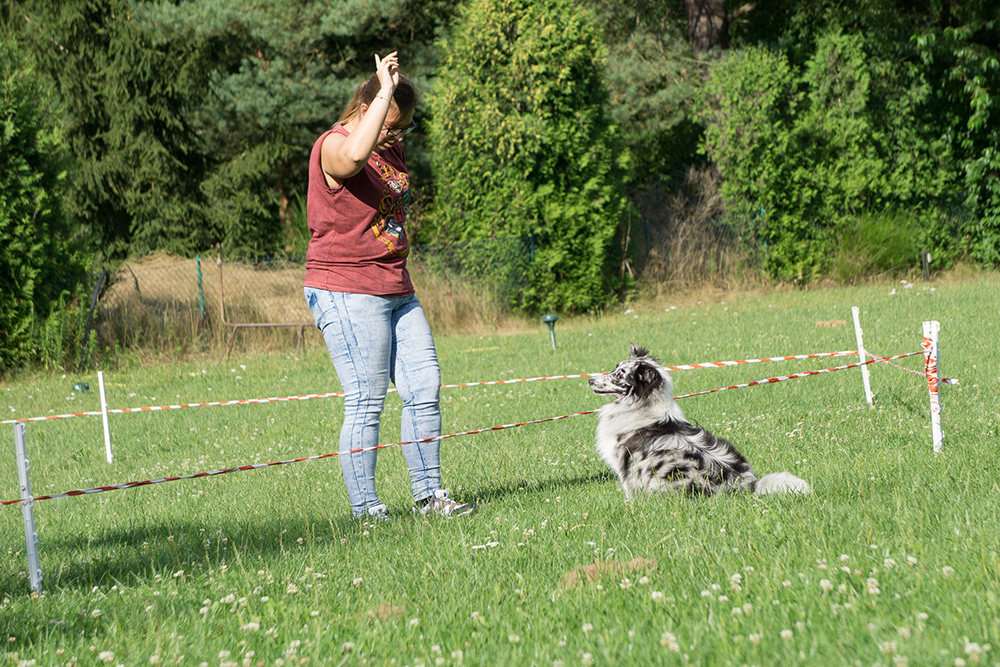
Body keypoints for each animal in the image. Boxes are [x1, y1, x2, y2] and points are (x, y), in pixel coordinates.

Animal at [588, 348, 808, 498]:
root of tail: (746, 486)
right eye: (614, 368)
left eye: (619, 375)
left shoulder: (627, 465)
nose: (590, 380)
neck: (643, 406)